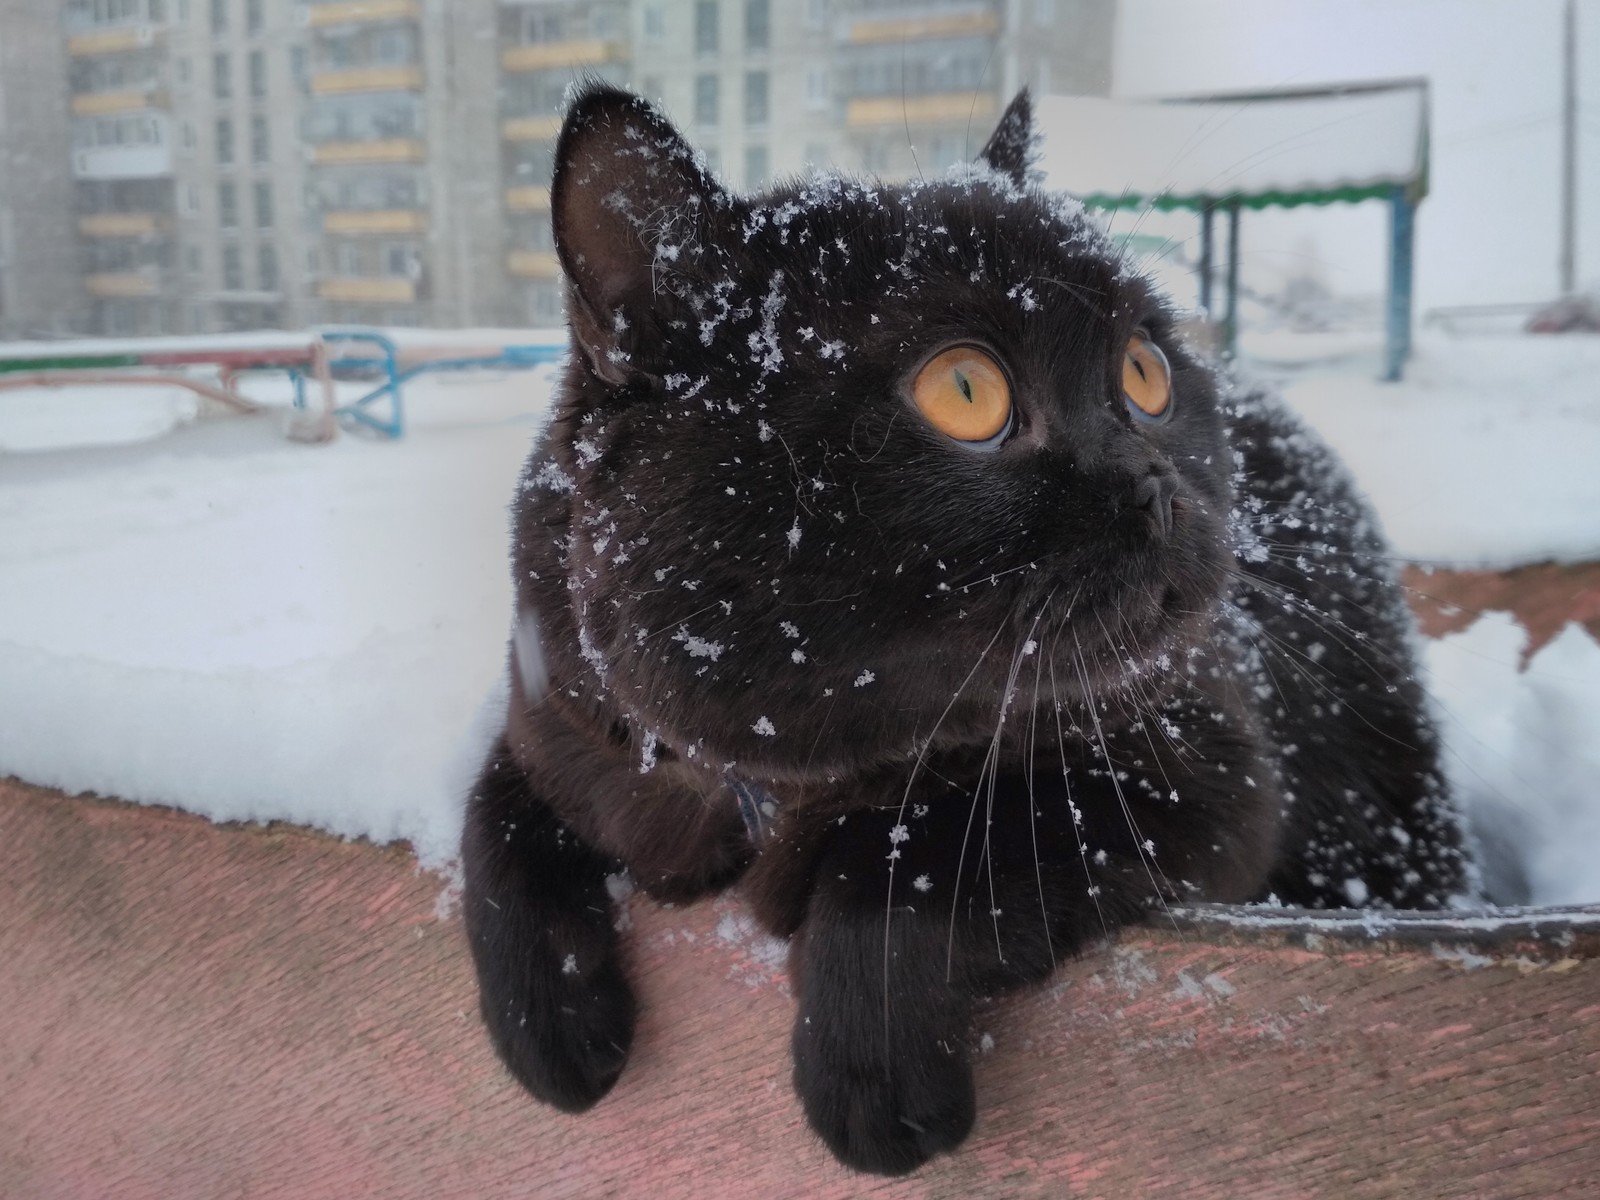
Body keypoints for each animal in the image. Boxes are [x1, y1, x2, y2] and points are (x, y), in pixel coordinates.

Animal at [457, 86, 1465, 1184]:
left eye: (1145, 372)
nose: (1156, 485)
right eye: (966, 391)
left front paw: (871, 1077)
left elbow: (908, 858)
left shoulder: (1201, 767)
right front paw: (548, 1033)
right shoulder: (563, 719)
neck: (779, 779)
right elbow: (493, 823)